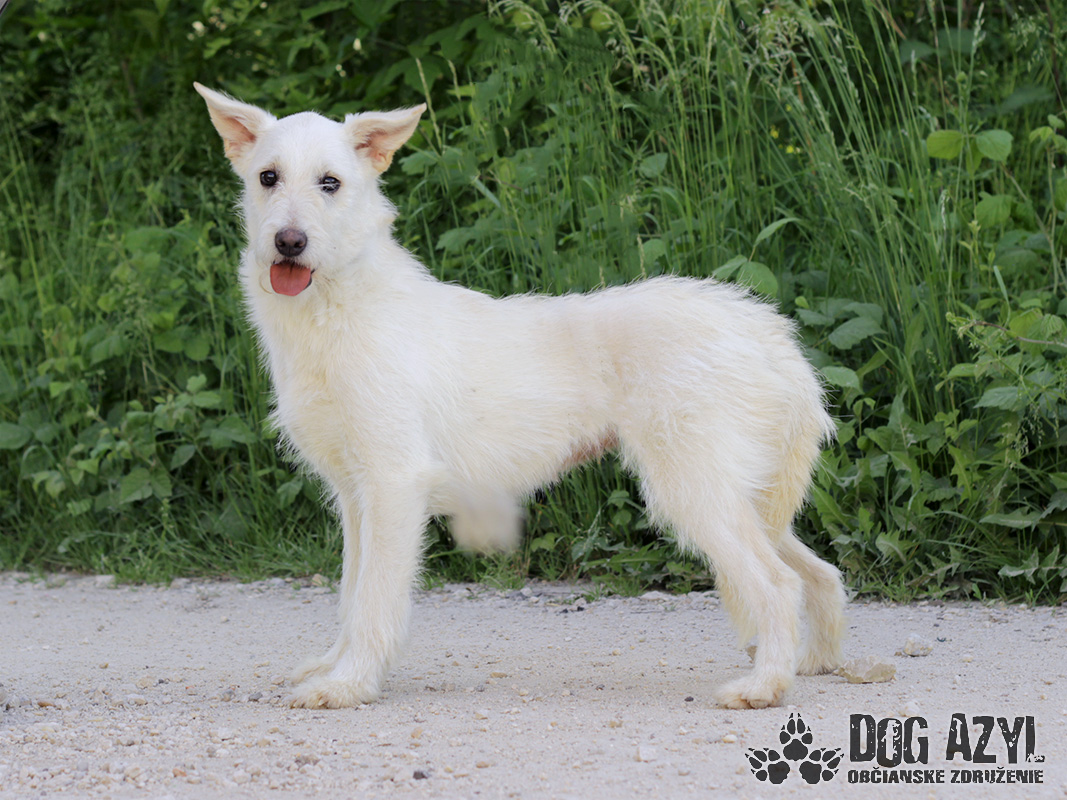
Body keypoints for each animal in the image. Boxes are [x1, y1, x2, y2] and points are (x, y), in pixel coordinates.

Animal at [194, 83, 846, 710]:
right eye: (268, 177)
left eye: (330, 182)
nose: (289, 242)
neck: (338, 304)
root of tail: (767, 332)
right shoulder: (355, 497)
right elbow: (351, 596)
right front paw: (335, 668)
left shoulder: (392, 486)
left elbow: (375, 600)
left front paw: (349, 685)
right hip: (741, 499)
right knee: (820, 573)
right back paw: (817, 662)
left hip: (696, 493)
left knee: (777, 585)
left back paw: (765, 687)